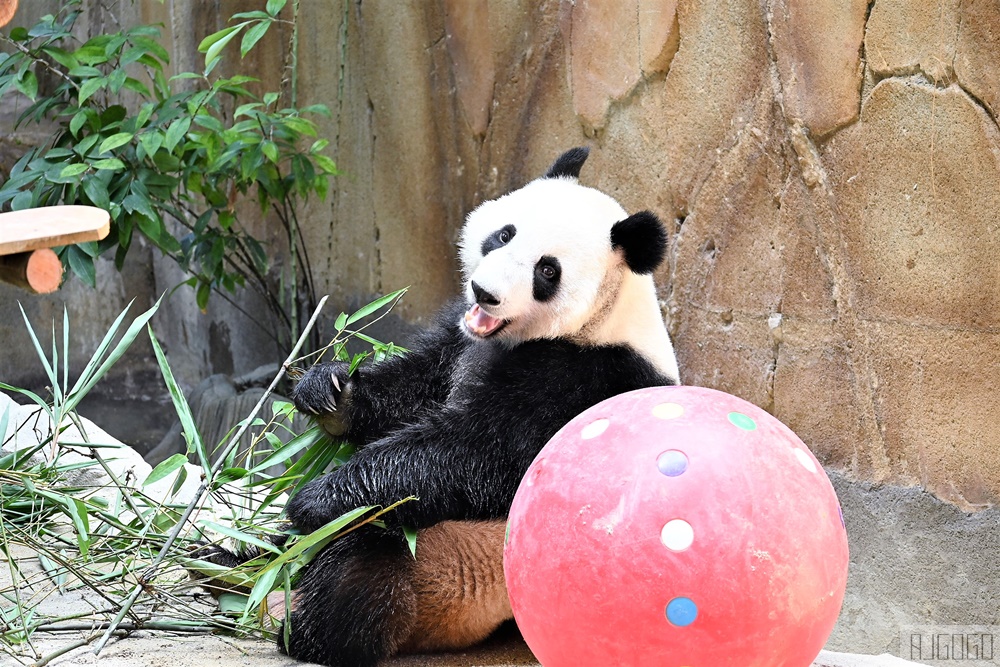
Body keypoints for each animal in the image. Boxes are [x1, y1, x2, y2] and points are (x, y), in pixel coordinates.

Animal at [278, 149, 680, 664]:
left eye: (547, 271)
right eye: (504, 234)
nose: (484, 292)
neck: (601, 319)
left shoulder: (585, 379)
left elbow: (479, 452)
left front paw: (318, 497)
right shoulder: (461, 340)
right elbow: (417, 383)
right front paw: (332, 395)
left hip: (456, 564)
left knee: (360, 558)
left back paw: (306, 630)